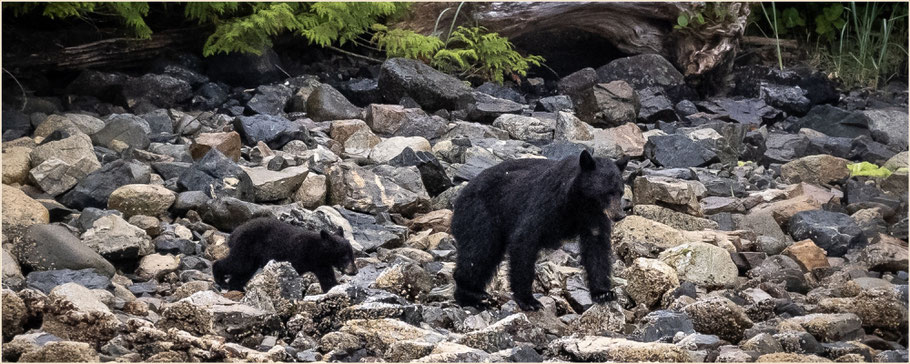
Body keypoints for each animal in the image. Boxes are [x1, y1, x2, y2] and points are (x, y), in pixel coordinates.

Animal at [212, 218, 358, 292]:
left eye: (353, 256)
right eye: (345, 257)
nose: (355, 271)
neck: (318, 250)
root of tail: (233, 234)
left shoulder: (322, 264)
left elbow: (327, 279)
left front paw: (336, 287)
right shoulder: (304, 256)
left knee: (244, 271)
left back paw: (237, 287)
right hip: (246, 246)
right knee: (238, 264)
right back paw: (221, 280)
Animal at [454, 149, 632, 312]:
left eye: (620, 192)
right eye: (607, 193)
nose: (620, 214)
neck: (578, 203)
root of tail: (462, 193)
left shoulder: (594, 217)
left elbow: (597, 248)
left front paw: (604, 293)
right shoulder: (545, 203)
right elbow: (524, 239)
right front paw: (528, 300)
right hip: (481, 212)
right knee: (480, 251)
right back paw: (472, 295)